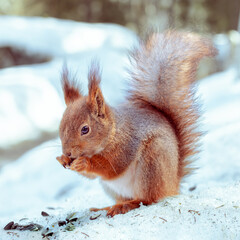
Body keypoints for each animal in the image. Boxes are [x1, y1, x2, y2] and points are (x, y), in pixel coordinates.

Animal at [56, 30, 216, 218]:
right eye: (60, 128)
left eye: (85, 129)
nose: (68, 152)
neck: (114, 131)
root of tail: (173, 184)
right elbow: (92, 176)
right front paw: (62, 159)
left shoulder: (126, 145)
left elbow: (112, 167)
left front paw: (84, 163)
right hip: (113, 188)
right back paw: (108, 207)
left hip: (152, 164)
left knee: (149, 199)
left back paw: (127, 205)